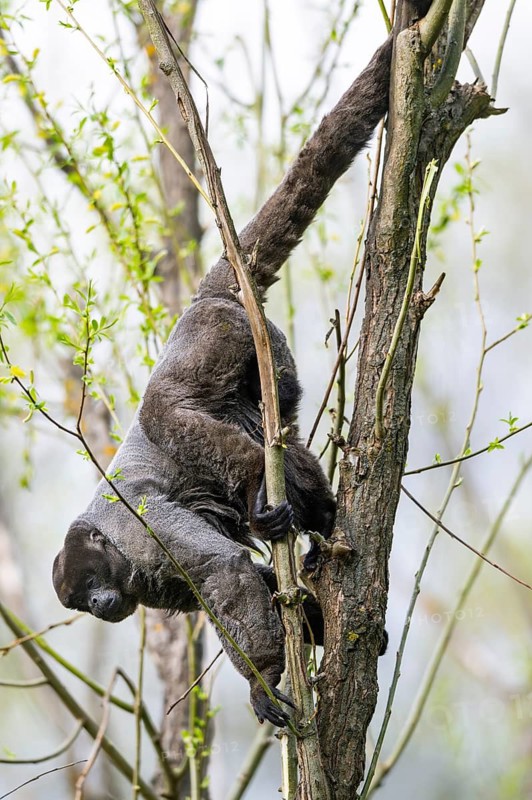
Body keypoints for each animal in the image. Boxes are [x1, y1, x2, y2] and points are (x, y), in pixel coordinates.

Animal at [53, 30, 404, 727]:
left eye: (92, 584)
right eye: (81, 603)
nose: (102, 605)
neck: (118, 553)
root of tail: (207, 293)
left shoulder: (144, 535)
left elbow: (224, 572)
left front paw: (264, 681)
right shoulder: (153, 585)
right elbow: (249, 584)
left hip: (216, 337)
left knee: (170, 412)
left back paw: (269, 497)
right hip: (266, 354)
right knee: (278, 425)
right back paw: (315, 514)